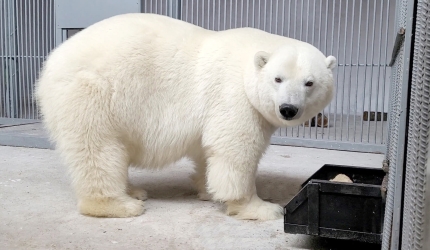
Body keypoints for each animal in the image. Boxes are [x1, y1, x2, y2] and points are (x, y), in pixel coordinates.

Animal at [35, 13, 336, 221]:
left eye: (309, 83)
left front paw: (207, 190)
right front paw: (260, 207)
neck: (249, 58)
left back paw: (132, 191)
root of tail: (49, 65)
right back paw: (120, 204)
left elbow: (208, 151)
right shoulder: (233, 95)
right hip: (92, 93)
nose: (288, 108)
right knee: (97, 149)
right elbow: (235, 151)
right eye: (278, 78)